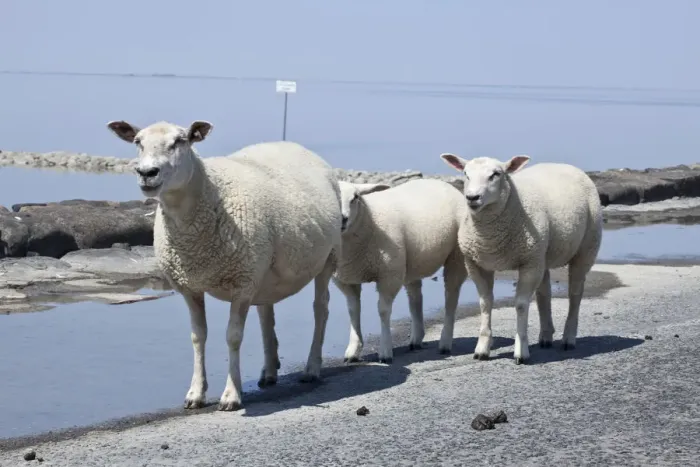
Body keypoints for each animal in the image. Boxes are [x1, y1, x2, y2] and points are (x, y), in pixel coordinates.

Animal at [107, 120, 342, 411]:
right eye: (138, 142)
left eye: (180, 141)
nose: (147, 173)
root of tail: (297, 147)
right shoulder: (190, 285)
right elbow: (198, 336)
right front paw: (196, 393)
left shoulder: (241, 283)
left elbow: (233, 336)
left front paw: (231, 395)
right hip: (263, 271)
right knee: (266, 314)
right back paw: (269, 371)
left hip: (327, 257)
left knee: (320, 310)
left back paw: (312, 368)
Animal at [333, 178, 469, 364]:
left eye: (355, 197)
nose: (343, 219)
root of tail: (441, 183)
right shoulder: (346, 279)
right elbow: (353, 311)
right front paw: (353, 351)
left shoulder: (389, 276)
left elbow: (383, 311)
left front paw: (385, 351)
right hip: (411, 262)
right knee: (415, 297)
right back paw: (417, 339)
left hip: (456, 255)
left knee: (451, 296)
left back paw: (445, 342)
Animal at [440, 153, 603, 364]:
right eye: (466, 174)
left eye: (496, 174)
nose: (472, 197)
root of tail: (566, 165)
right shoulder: (477, 264)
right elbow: (485, 303)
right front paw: (482, 349)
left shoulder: (529, 264)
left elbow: (521, 304)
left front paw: (521, 351)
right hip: (542, 254)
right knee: (544, 293)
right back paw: (546, 336)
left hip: (585, 247)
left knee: (575, 293)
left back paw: (568, 338)